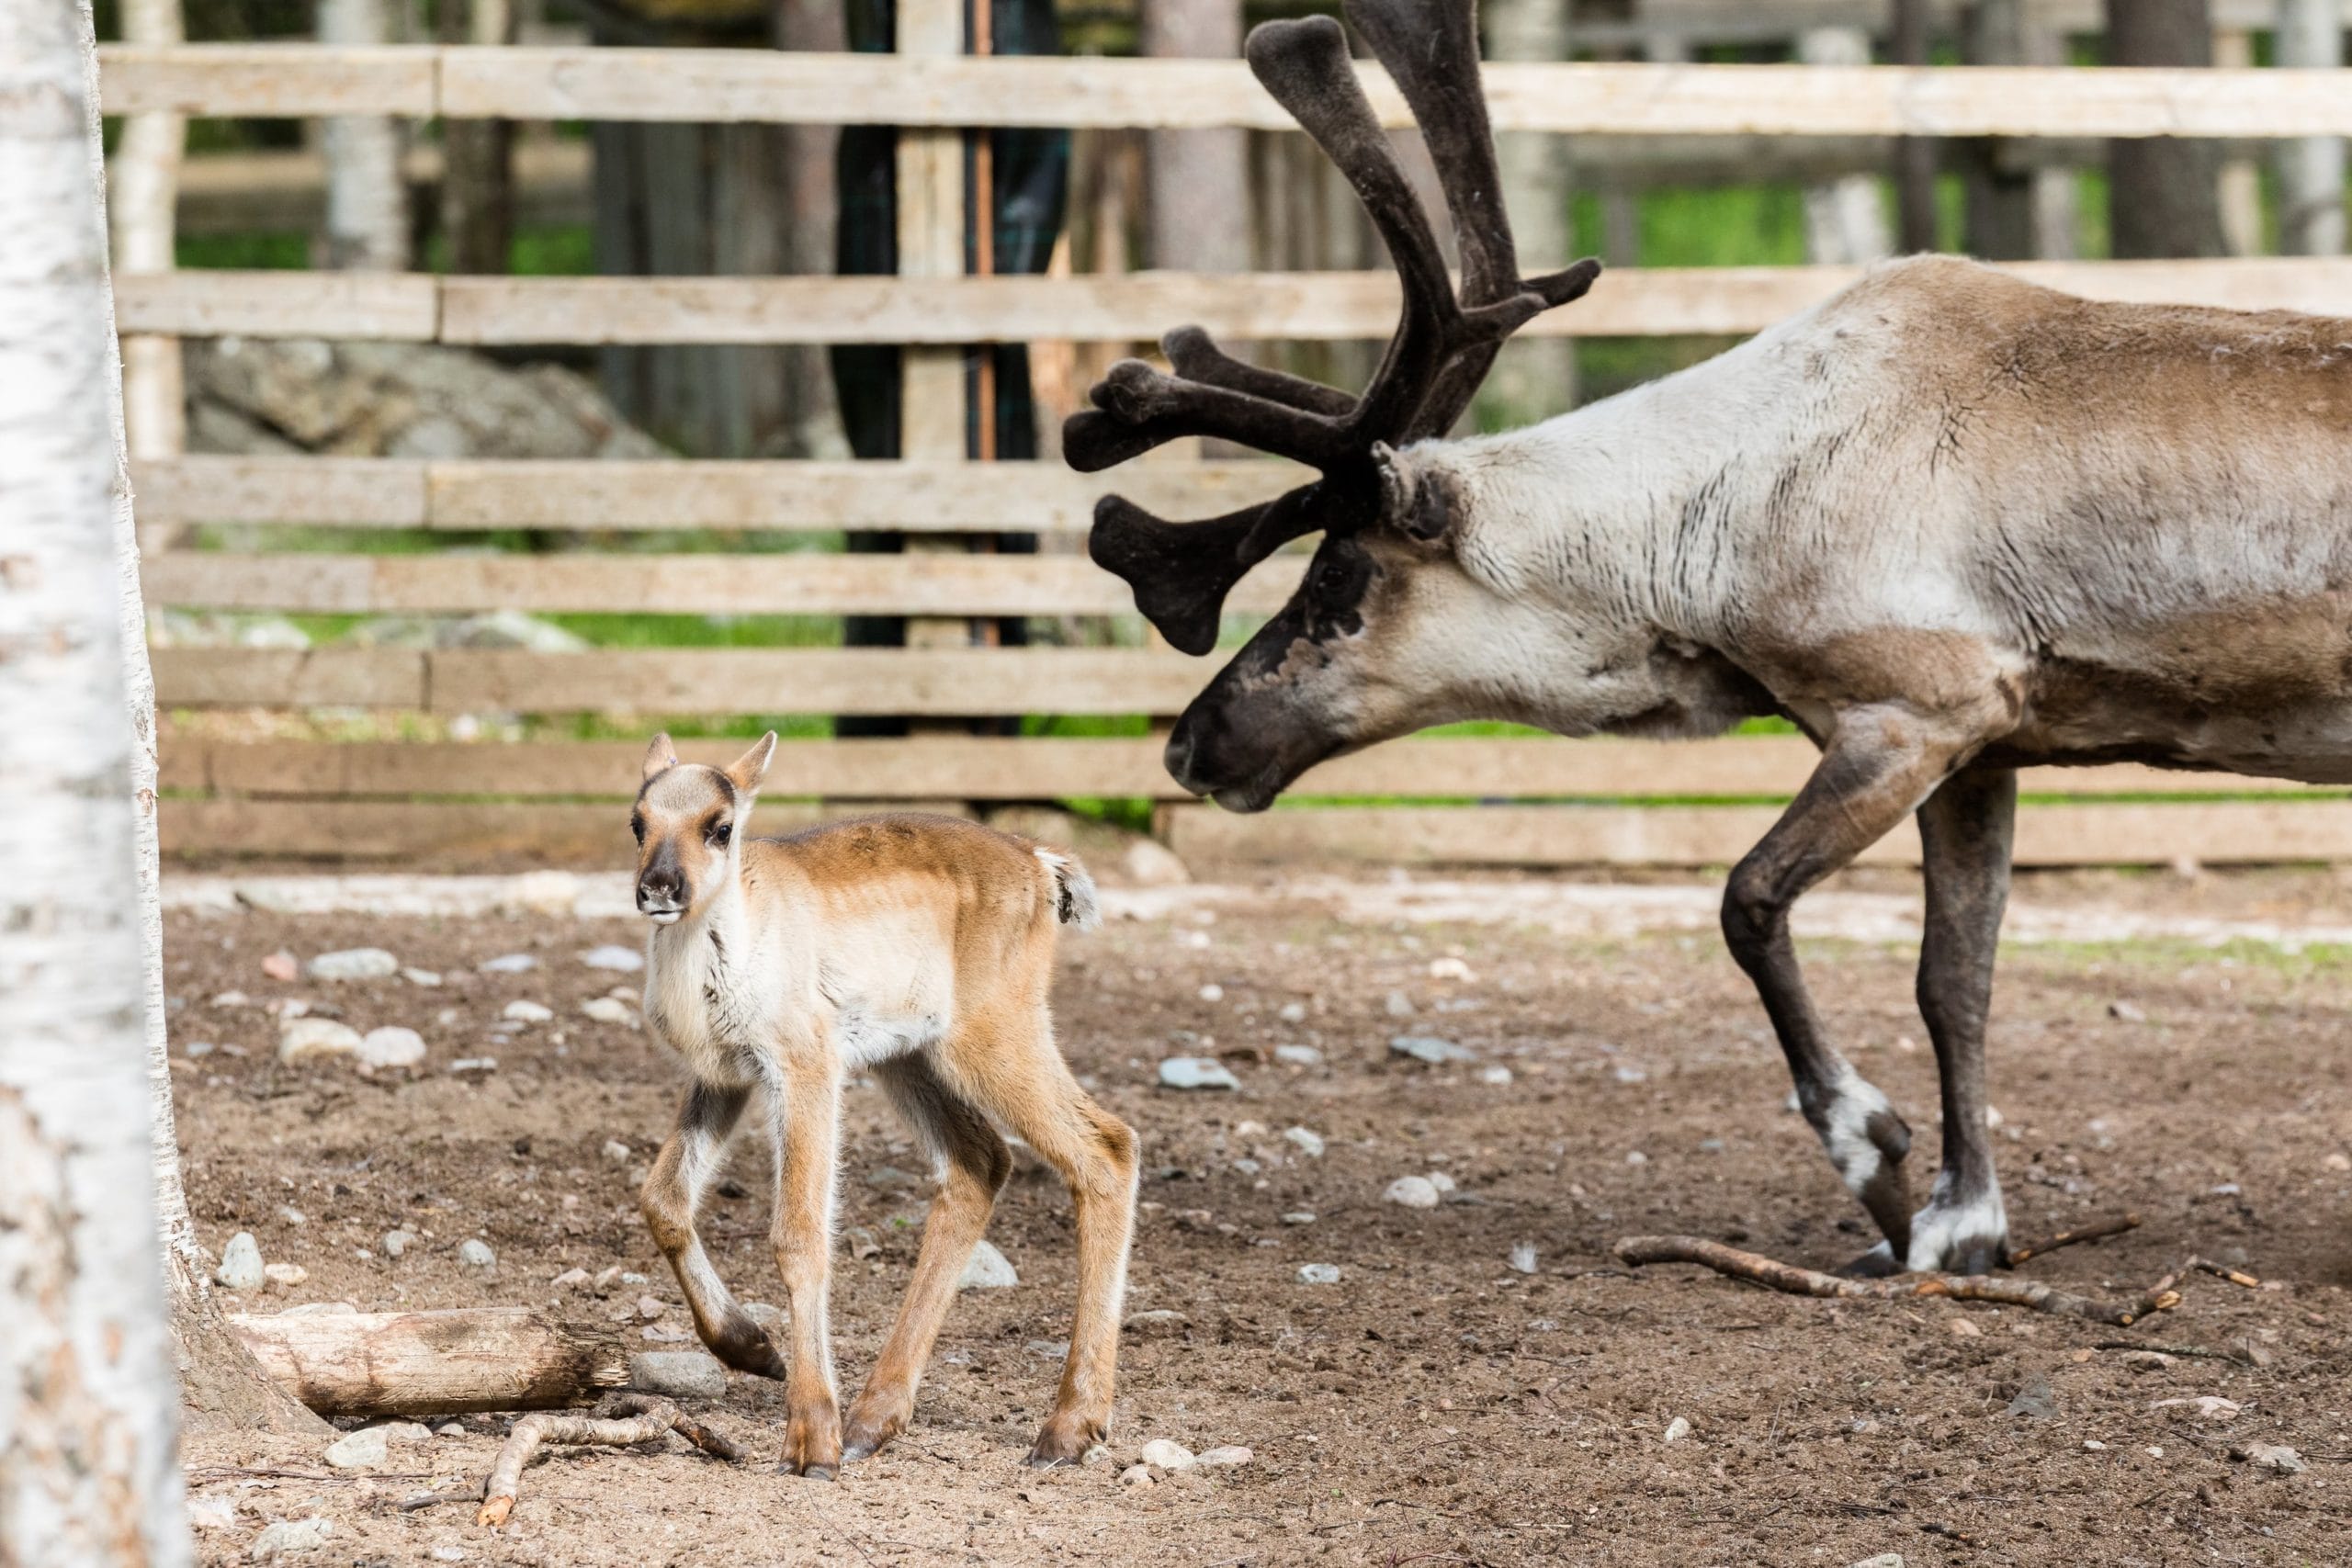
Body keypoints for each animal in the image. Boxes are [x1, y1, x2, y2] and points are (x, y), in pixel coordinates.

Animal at [626, 732, 1137, 1475]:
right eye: (638, 822)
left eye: (720, 825)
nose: (659, 887)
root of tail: (1045, 866)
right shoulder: (725, 1076)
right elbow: (662, 1199)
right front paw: (753, 1349)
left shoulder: (806, 1063)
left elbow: (799, 1234)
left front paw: (812, 1437)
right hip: (910, 1056)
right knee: (980, 1163)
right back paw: (874, 1418)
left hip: (989, 1035)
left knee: (1106, 1147)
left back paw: (1067, 1428)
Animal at [1075, 0, 2352, 1279]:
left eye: (1336, 575)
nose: (1191, 743)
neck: (1714, 526)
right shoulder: (1985, 747)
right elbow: (1955, 980)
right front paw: (1962, 1223)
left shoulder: (1916, 710)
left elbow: (1746, 900)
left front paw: (1872, 1155)